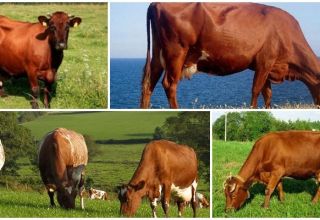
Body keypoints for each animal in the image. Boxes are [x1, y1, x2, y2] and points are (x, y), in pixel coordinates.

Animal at [141, 2, 320, 109]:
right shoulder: (265, 61)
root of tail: (156, 3)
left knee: (148, 83)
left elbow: (267, 94)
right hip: (176, 53)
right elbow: (256, 90)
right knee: (169, 84)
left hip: (158, 55)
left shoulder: (267, 66)